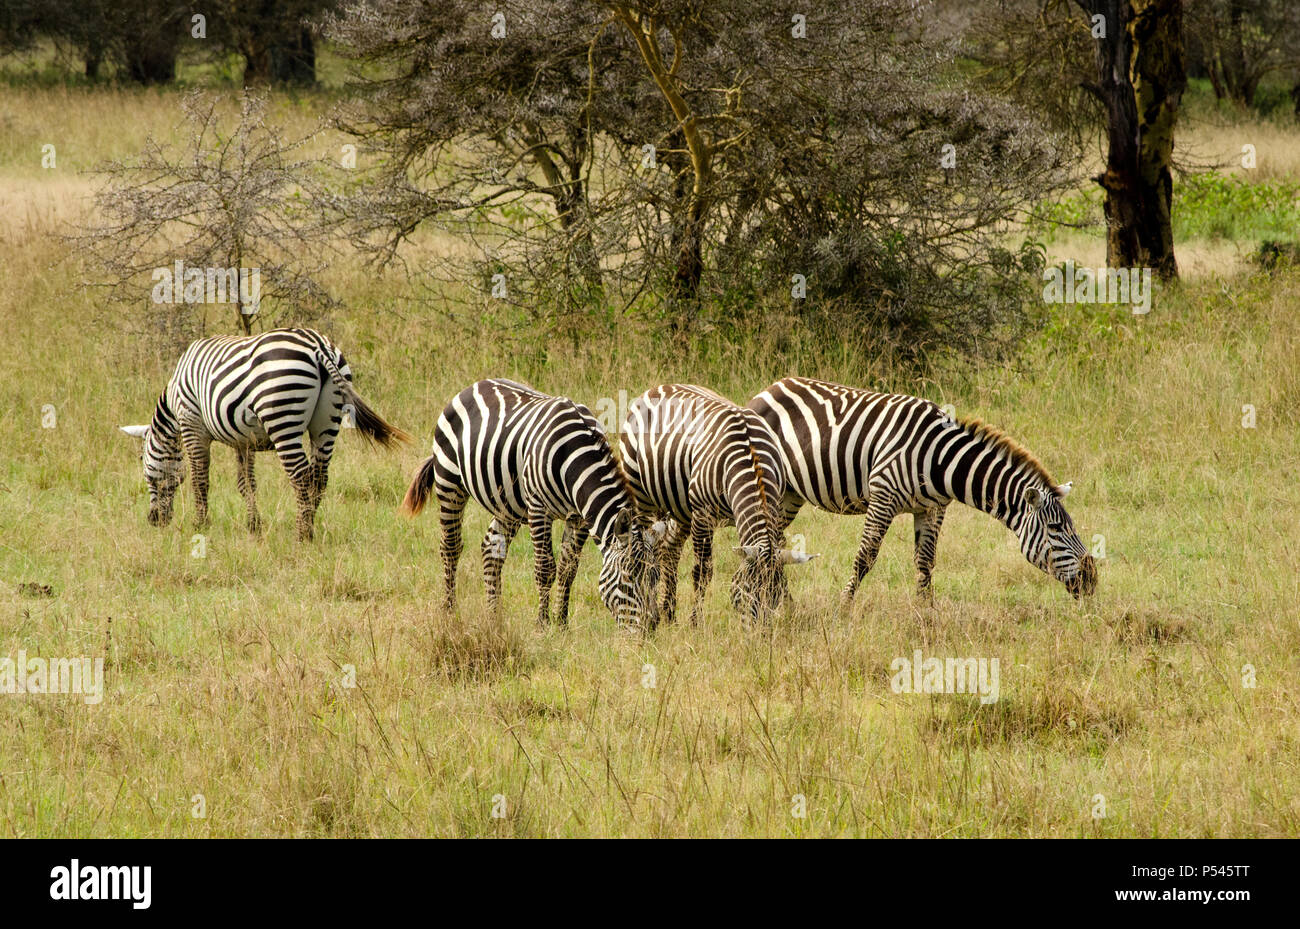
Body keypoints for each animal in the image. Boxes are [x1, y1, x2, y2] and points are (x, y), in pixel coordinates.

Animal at [120, 328, 409, 541]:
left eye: (146, 470)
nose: (154, 521)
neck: (173, 400)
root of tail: (319, 346)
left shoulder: (192, 424)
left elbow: (200, 479)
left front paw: (200, 524)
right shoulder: (243, 441)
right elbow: (245, 483)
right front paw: (254, 525)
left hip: (283, 415)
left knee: (300, 476)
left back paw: (302, 534)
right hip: (328, 421)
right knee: (320, 476)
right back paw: (311, 527)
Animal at [401, 378, 661, 627]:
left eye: (655, 578)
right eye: (628, 580)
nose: (650, 627)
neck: (575, 459)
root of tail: (473, 385)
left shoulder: (579, 517)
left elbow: (568, 568)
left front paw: (561, 622)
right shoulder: (538, 508)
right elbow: (545, 568)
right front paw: (543, 624)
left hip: (508, 504)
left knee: (491, 549)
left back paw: (494, 616)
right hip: (450, 483)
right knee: (451, 547)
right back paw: (449, 609)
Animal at [619, 384, 818, 625]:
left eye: (776, 595)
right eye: (745, 593)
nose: (762, 633)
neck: (751, 458)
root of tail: (658, 387)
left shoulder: (774, 510)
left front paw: (790, 609)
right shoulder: (703, 514)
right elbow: (702, 571)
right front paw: (696, 623)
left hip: (681, 508)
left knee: (669, 548)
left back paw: (669, 613)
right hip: (641, 494)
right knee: (650, 552)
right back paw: (654, 611)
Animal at [748, 376, 1098, 601]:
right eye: (1056, 529)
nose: (1092, 579)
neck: (941, 461)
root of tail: (769, 388)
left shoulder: (933, 508)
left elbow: (925, 562)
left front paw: (927, 614)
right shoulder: (883, 496)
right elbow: (865, 557)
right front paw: (843, 607)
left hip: (790, 493)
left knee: (775, 541)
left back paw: (779, 597)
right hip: (773, 484)